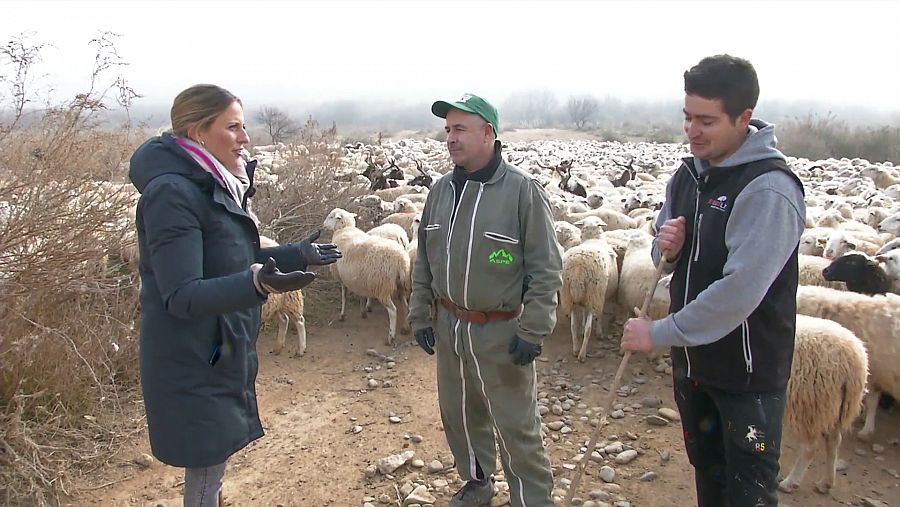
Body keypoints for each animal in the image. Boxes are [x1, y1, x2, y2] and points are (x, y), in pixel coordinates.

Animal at [324, 207, 412, 346]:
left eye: (331, 216)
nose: (323, 225)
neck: (344, 230)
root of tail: (401, 260)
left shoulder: (342, 277)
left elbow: (344, 295)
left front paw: (342, 315)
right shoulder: (358, 277)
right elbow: (361, 294)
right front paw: (363, 311)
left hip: (382, 286)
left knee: (393, 311)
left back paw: (391, 337)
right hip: (401, 285)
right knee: (405, 306)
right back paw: (405, 327)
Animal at [776, 316, 868, 494]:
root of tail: (854, 361)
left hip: (808, 404)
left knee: (809, 448)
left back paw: (790, 482)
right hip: (832, 406)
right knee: (834, 441)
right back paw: (826, 482)